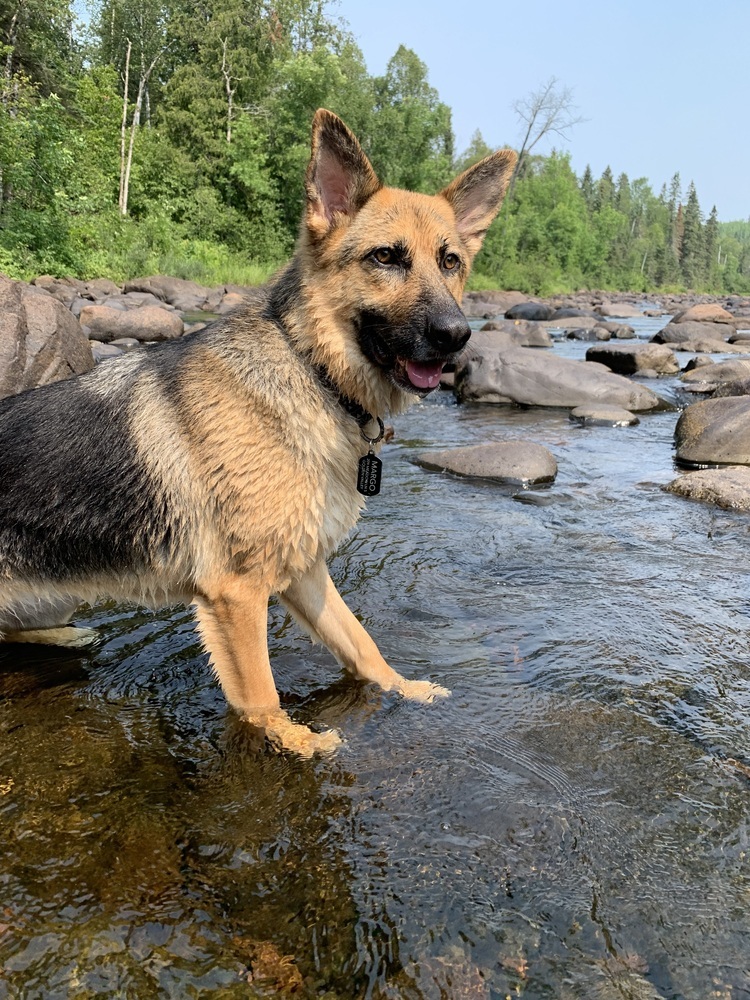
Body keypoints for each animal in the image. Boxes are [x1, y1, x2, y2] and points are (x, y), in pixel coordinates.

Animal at [0, 111, 516, 752]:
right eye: (386, 257)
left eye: (450, 262)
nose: (456, 336)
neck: (311, 369)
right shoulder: (236, 593)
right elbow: (261, 697)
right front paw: (298, 743)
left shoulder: (306, 573)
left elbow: (362, 644)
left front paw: (405, 689)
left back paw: (64, 637)